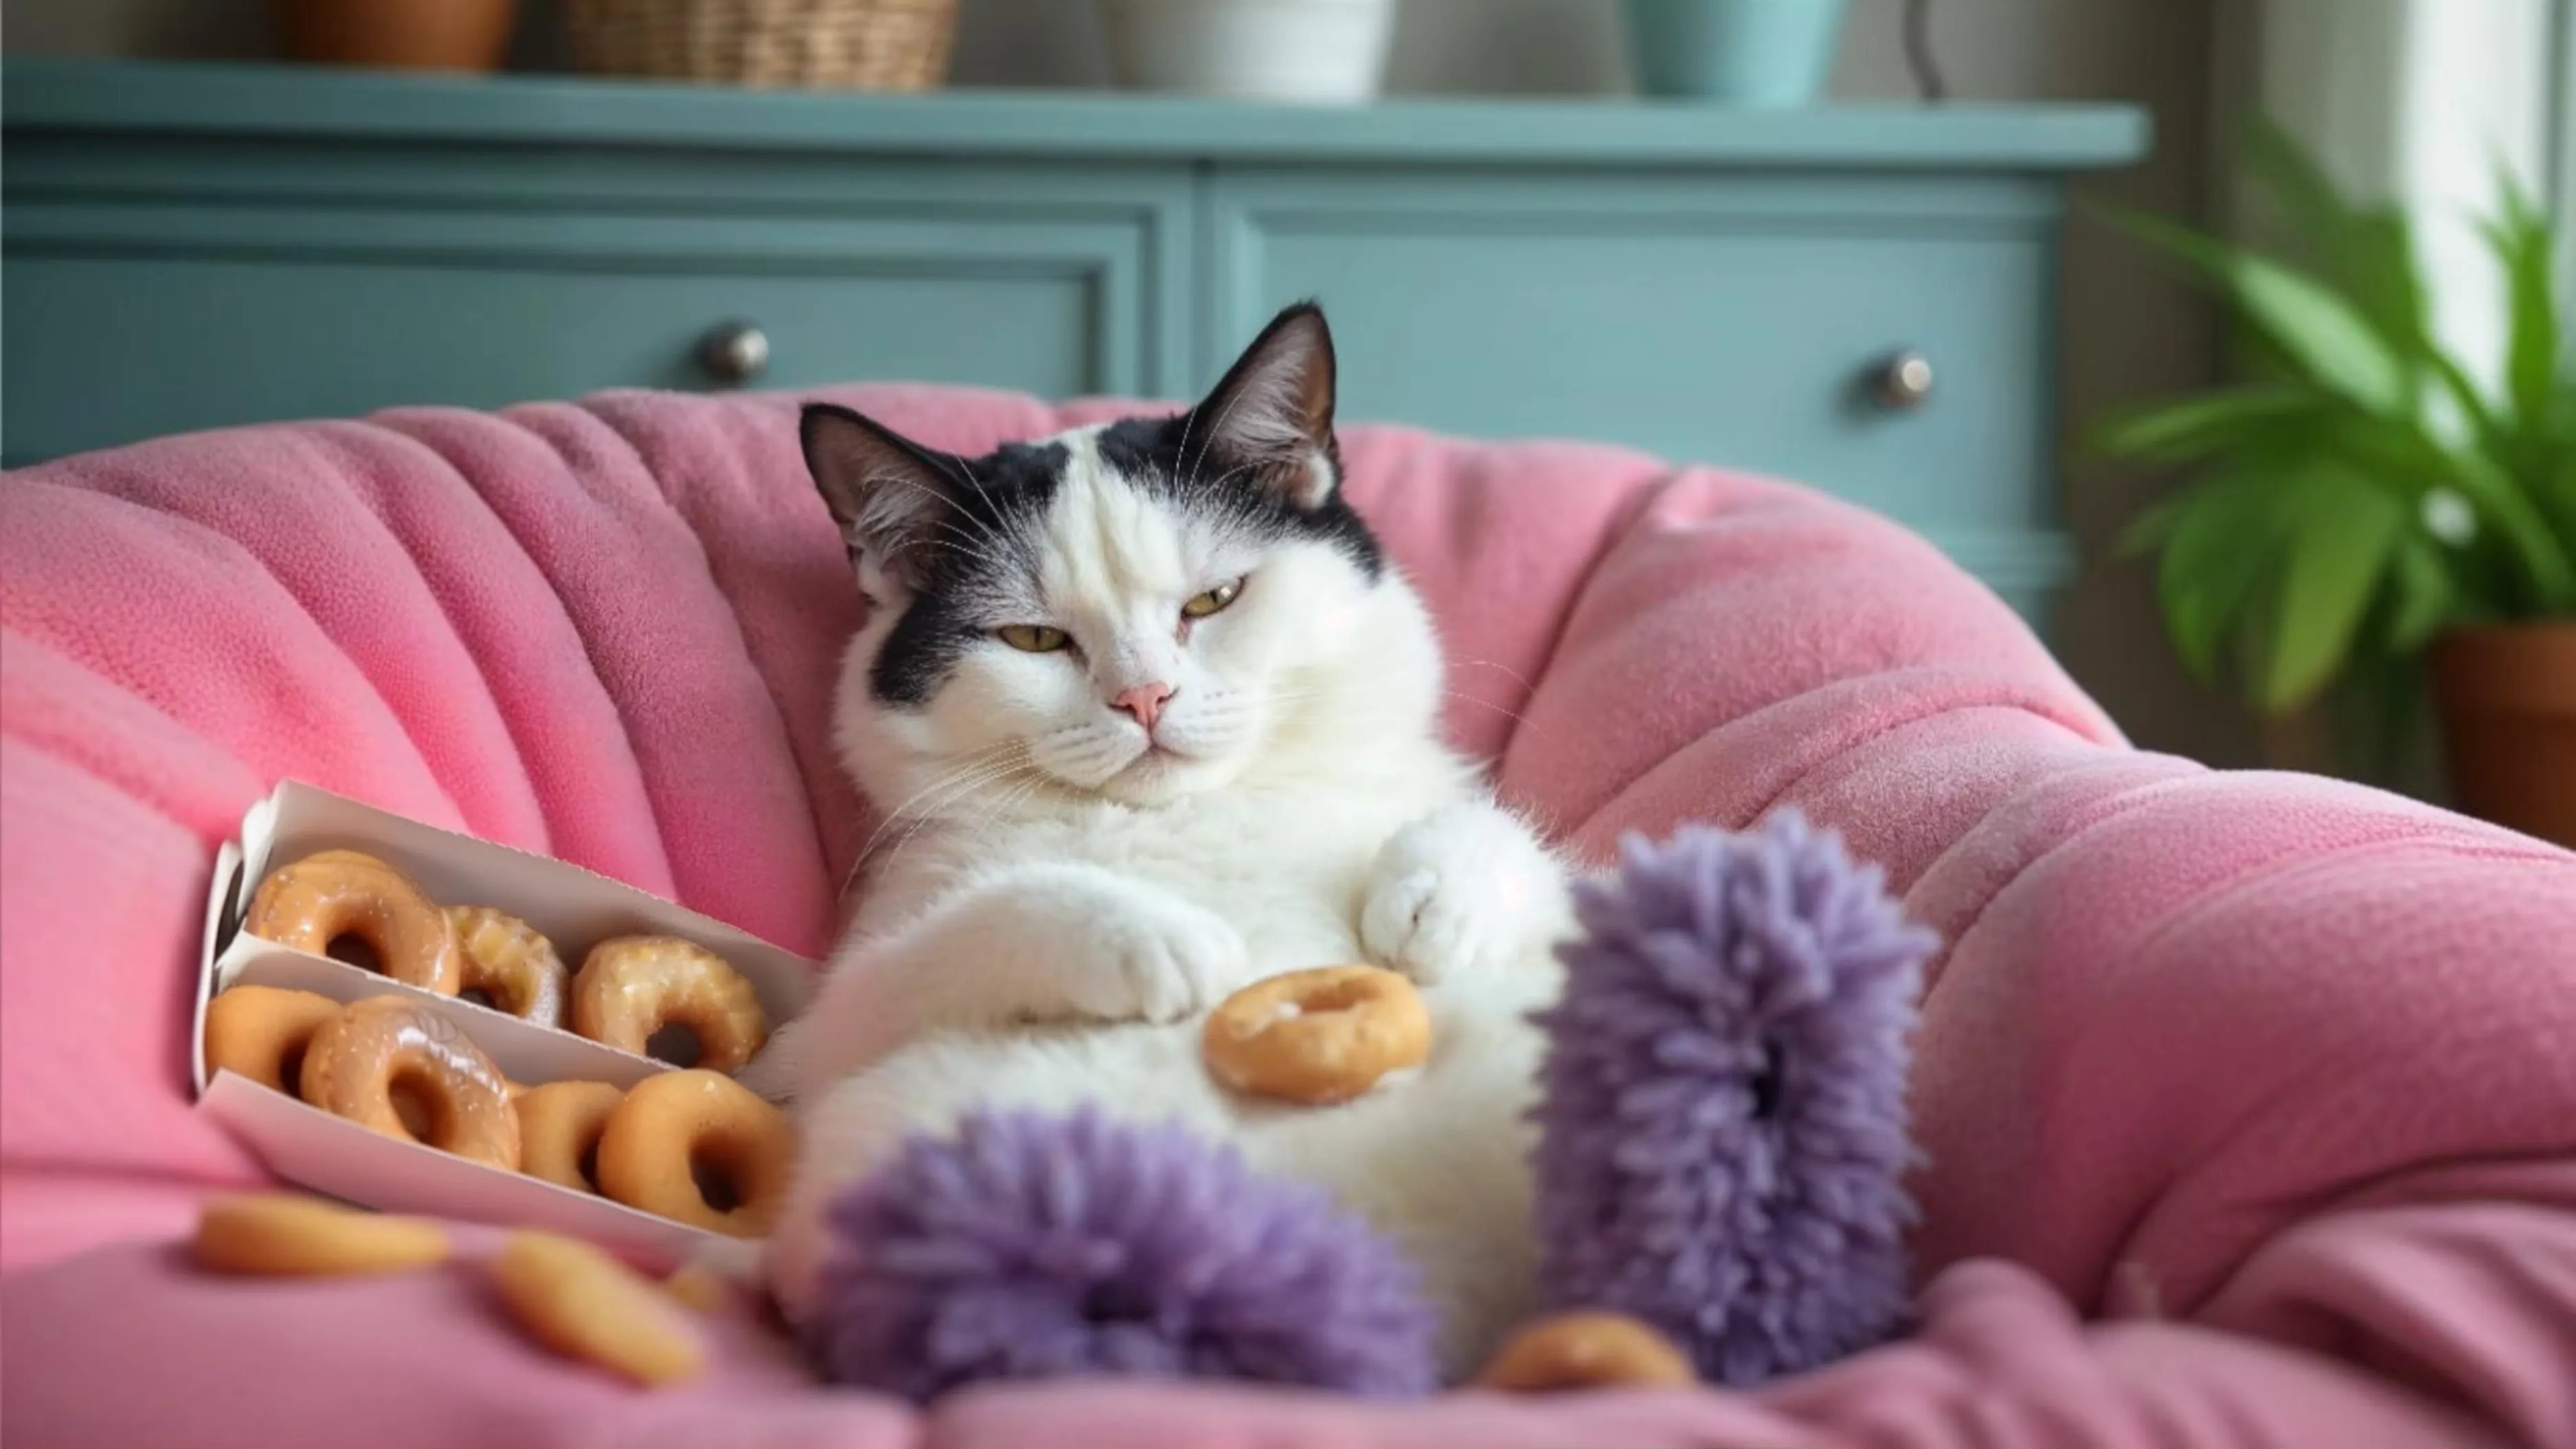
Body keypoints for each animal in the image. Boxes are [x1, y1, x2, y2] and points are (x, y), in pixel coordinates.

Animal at [752, 302, 1566, 1361]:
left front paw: (1436, 904)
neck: (1195, 810)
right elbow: (965, 929)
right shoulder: (841, 1021)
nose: (1144, 697)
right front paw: (1151, 936)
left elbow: (1513, 842)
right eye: (1033, 639)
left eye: (1213, 600)